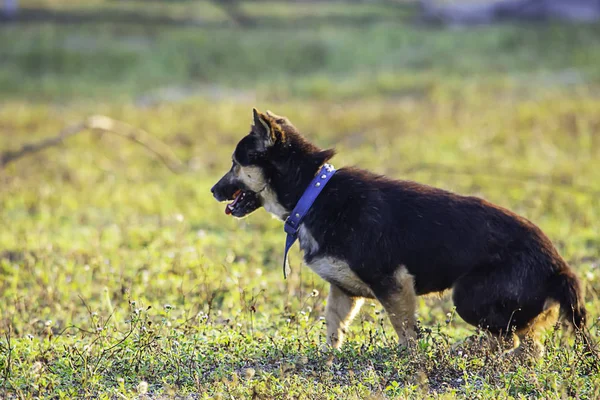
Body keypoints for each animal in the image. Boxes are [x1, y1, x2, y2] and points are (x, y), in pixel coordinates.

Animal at [210, 108, 584, 354]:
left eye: (235, 164)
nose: (213, 191)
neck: (312, 192)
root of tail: (559, 266)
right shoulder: (343, 291)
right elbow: (333, 326)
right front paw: (329, 359)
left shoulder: (394, 283)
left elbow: (404, 333)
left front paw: (409, 362)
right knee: (530, 343)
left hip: (468, 297)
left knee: (514, 340)